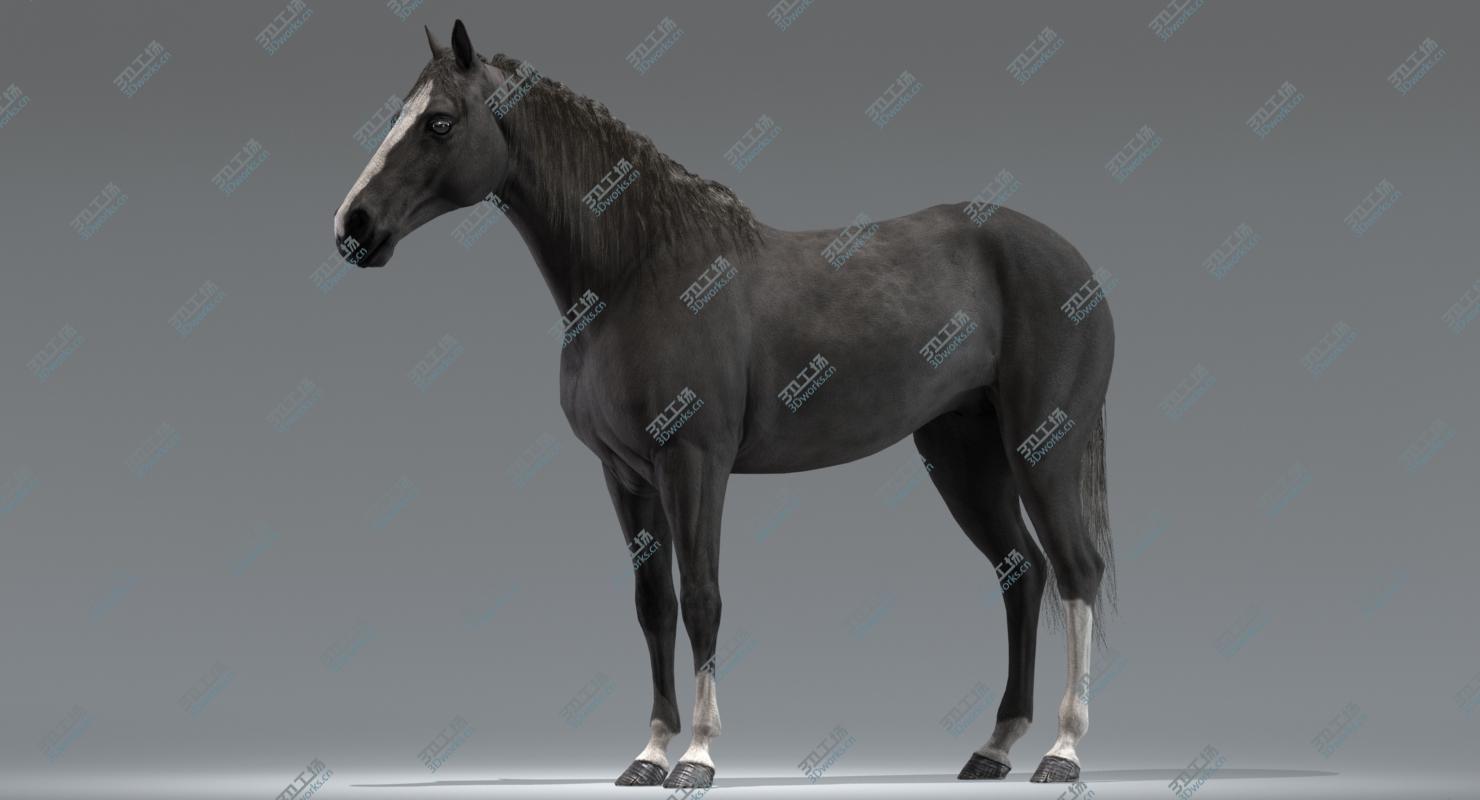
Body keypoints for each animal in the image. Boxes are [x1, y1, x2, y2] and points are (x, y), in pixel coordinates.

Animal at [333, 20, 1116, 789]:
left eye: (438, 122)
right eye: (398, 115)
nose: (353, 226)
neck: (639, 271)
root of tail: (1074, 265)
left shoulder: (694, 462)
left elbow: (703, 597)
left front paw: (699, 757)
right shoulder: (626, 475)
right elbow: (654, 605)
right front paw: (650, 754)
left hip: (1042, 449)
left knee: (1077, 570)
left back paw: (1063, 751)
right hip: (963, 457)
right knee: (1023, 574)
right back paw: (996, 747)